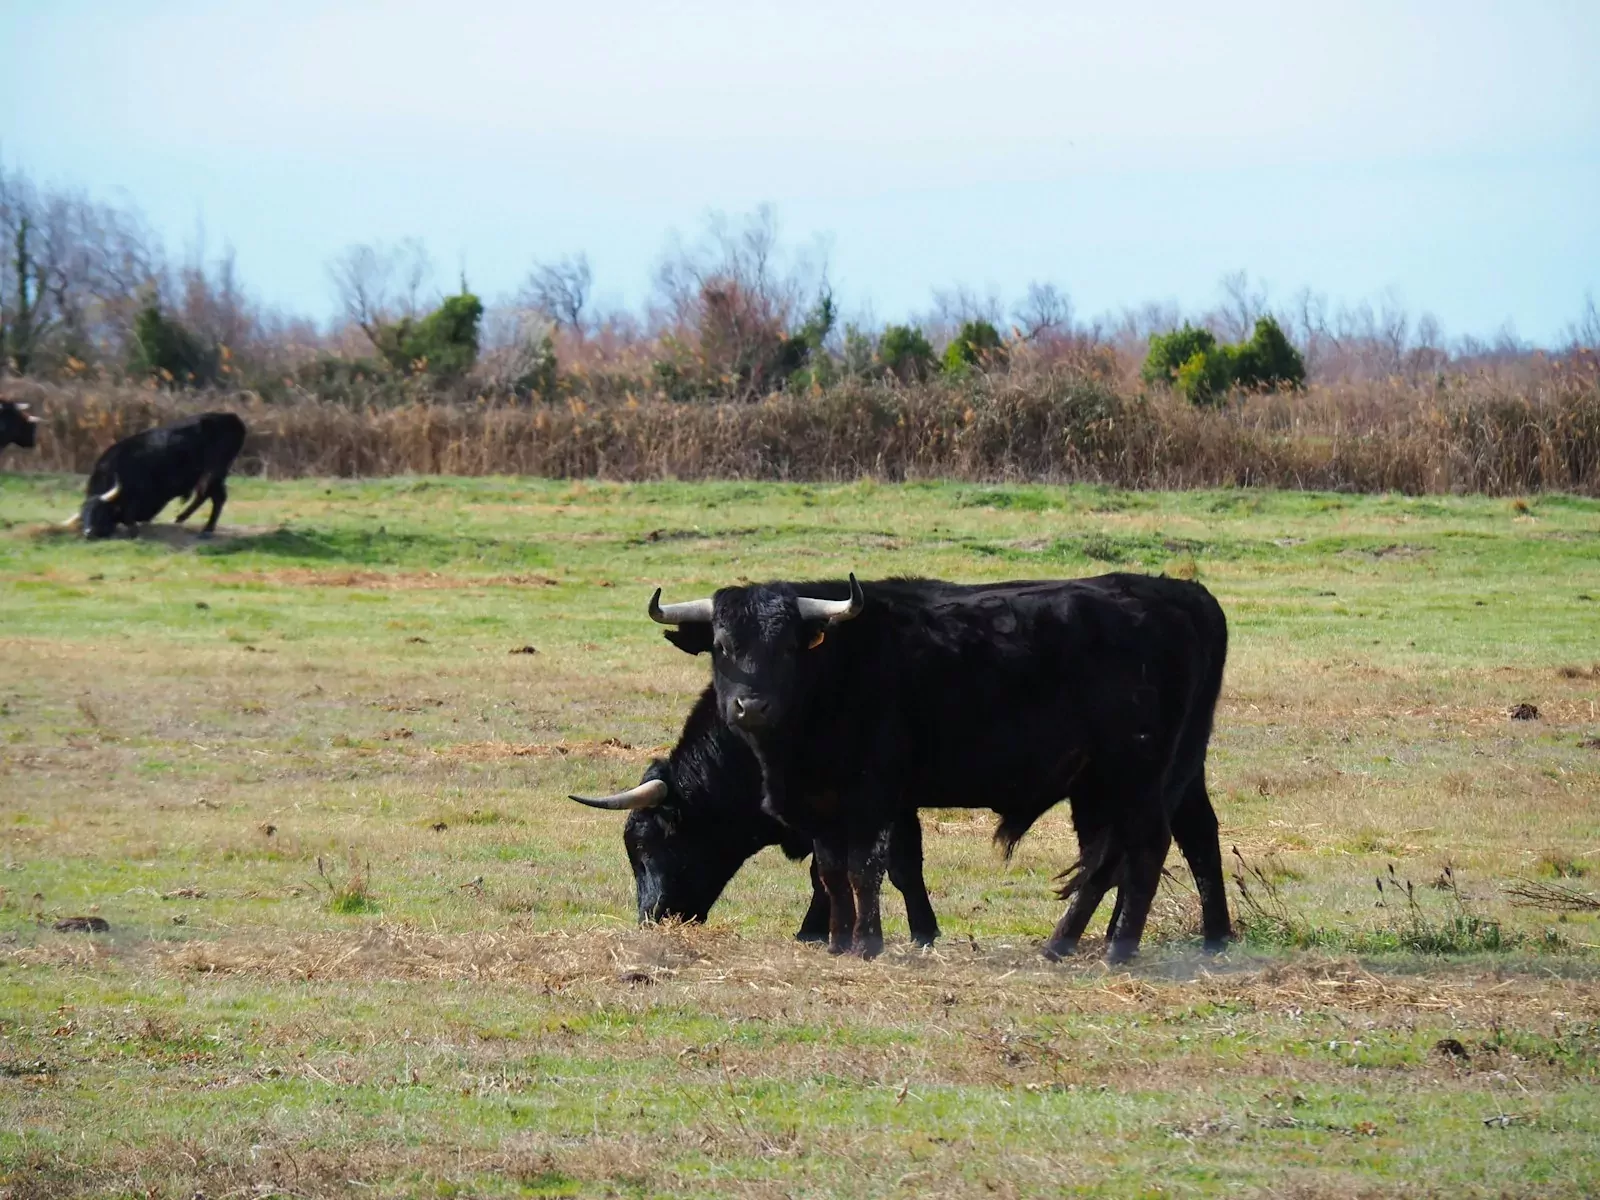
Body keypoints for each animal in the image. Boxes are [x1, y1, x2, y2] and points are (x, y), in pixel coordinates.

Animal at [65, 412, 246, 539]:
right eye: (84, 515)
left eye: (99, 512)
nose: (88, 532)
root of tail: (231, 418)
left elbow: (129, 516)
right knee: (206, 496)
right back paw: (181, 518)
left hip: (214, 473)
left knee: (216, 497)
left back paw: (206, 529)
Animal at [645, 573, 1231, 963]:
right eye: (722, 646)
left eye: (788, 647)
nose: (751, 706)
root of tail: (1178, 595)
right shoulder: (828, 804)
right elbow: (836, 870)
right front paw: (838, 940)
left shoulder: (875, 796)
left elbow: (866, 868)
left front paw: (869, 942)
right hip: (1129, 782)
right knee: (1151, 848)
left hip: (1136, 776)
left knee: (1145, 849)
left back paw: (1117, 948)